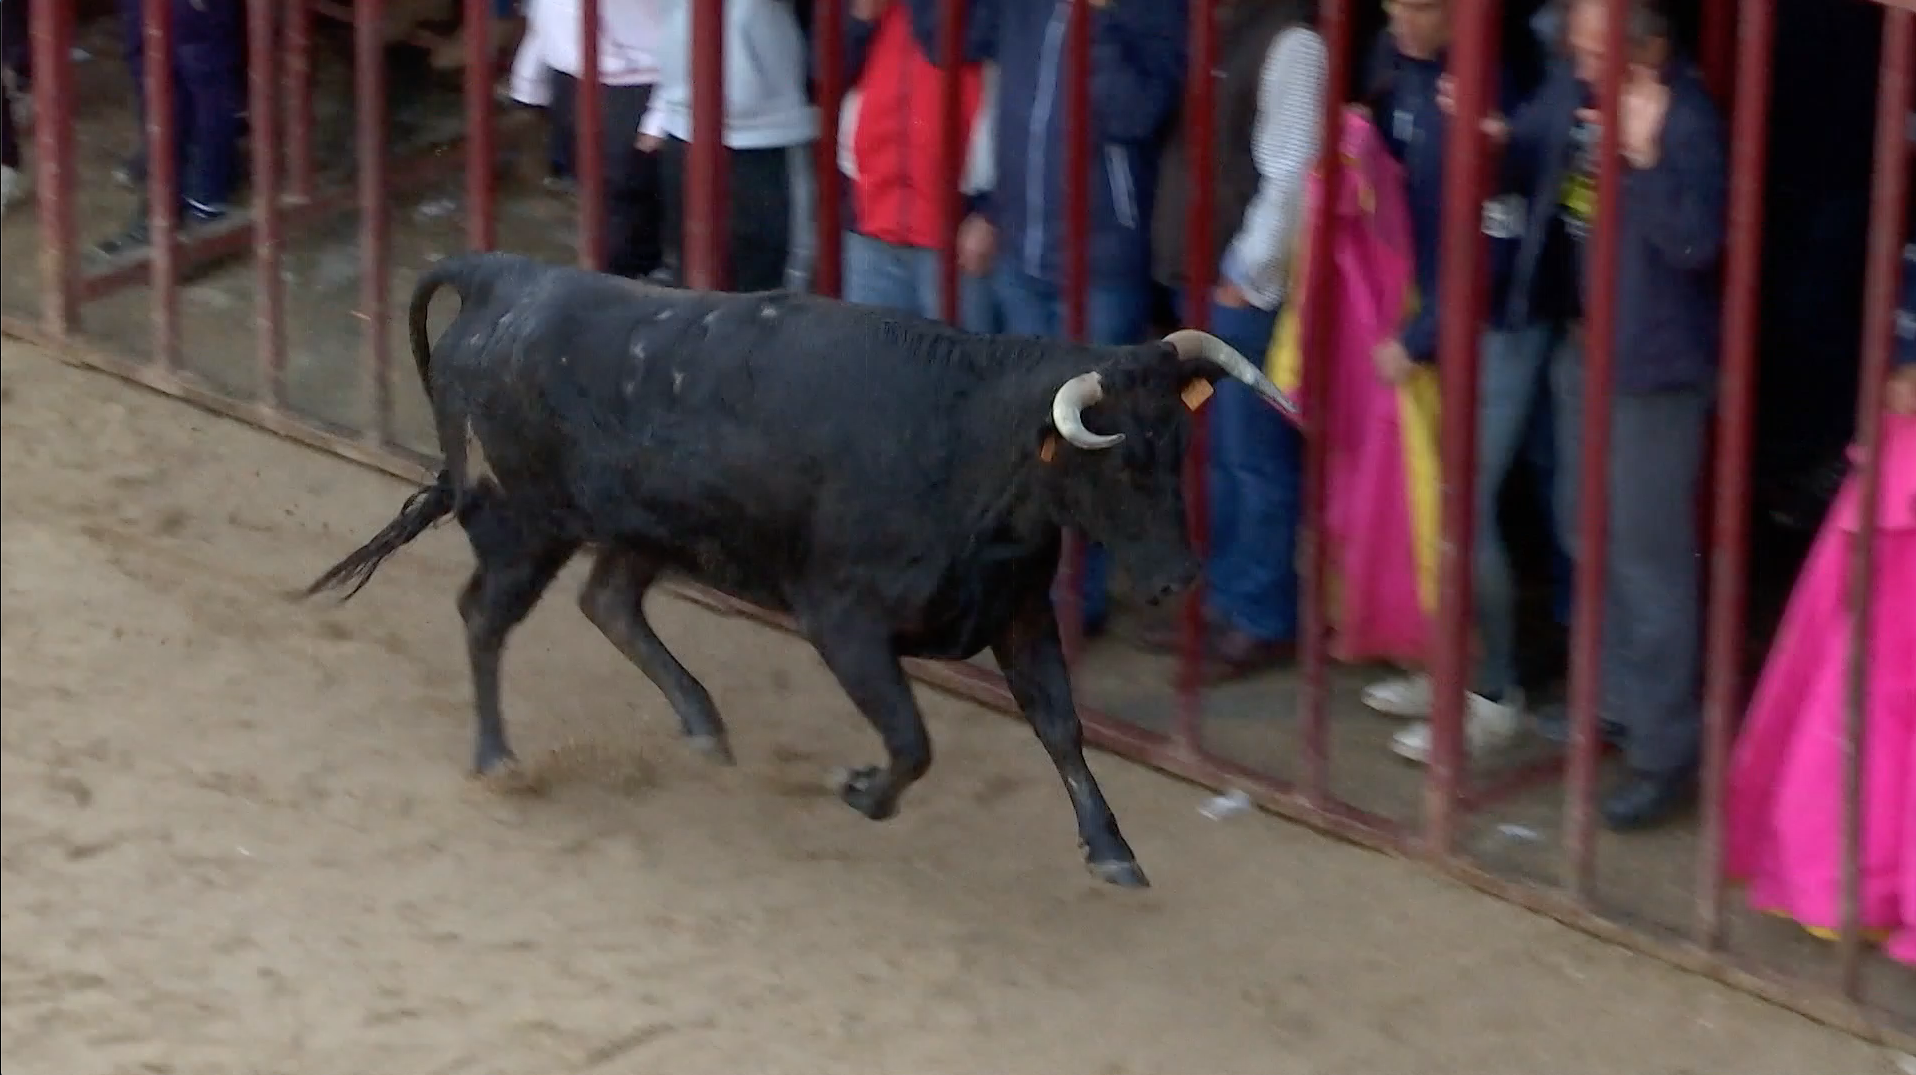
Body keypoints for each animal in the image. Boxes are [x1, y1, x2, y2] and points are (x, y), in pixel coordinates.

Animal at [310, 252, 1287, 889]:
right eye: (1116, 463)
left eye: (1178, 446)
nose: (1180, 578)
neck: (968, 440)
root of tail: (501, 277)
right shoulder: (843, 621)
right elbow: (912, 740)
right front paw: (860, 790)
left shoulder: (1017, 610)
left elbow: (1061, 726)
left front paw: (1111, 847)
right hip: (525, 523)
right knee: (485, 614)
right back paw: (496, 756)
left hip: (639, 529)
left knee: (609, 601)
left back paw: (703, 725)